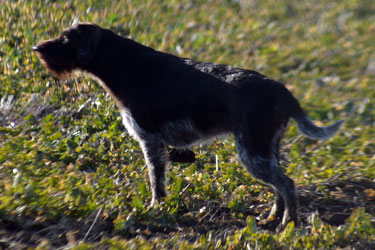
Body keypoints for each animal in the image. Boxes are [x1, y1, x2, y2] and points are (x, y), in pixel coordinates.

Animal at [33, 23, 346, 227]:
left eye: (66, 39)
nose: (37, 47)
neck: (126, 66)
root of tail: (278, 88)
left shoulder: (151, 141)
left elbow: (156, 183)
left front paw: (155, 210)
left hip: (253, 153)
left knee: (287, 185)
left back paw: (287, 225)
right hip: (266, 150)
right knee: (279, 186)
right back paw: (271, 218)